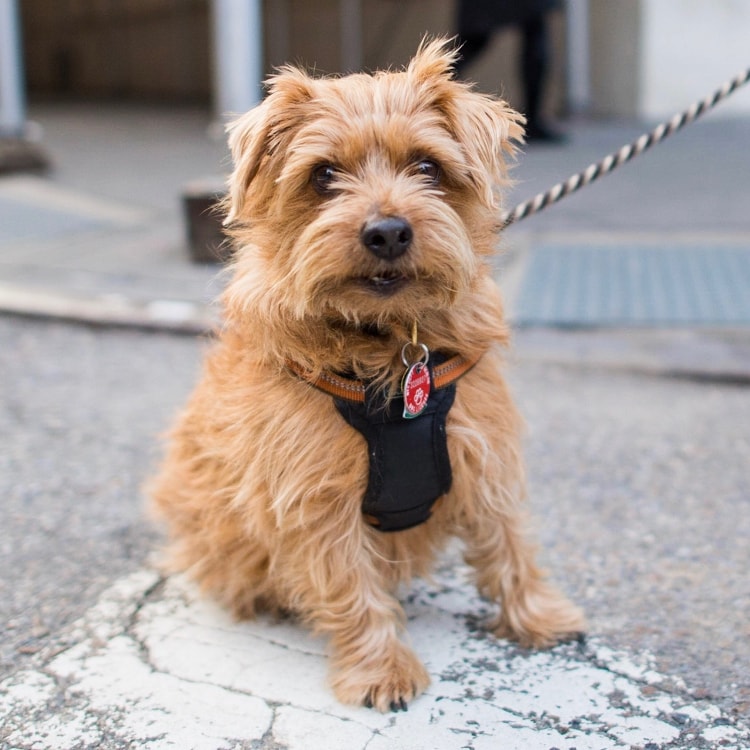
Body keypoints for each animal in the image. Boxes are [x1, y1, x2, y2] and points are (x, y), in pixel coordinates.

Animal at [151, 38, 588, 712]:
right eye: (324, 174)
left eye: (428, 167)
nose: (386, 231)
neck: (391, 345)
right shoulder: (316, 498)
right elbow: (350, 586)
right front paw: (381, 669)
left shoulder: (484, 454)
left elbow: (508, 540)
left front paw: (537, 614)